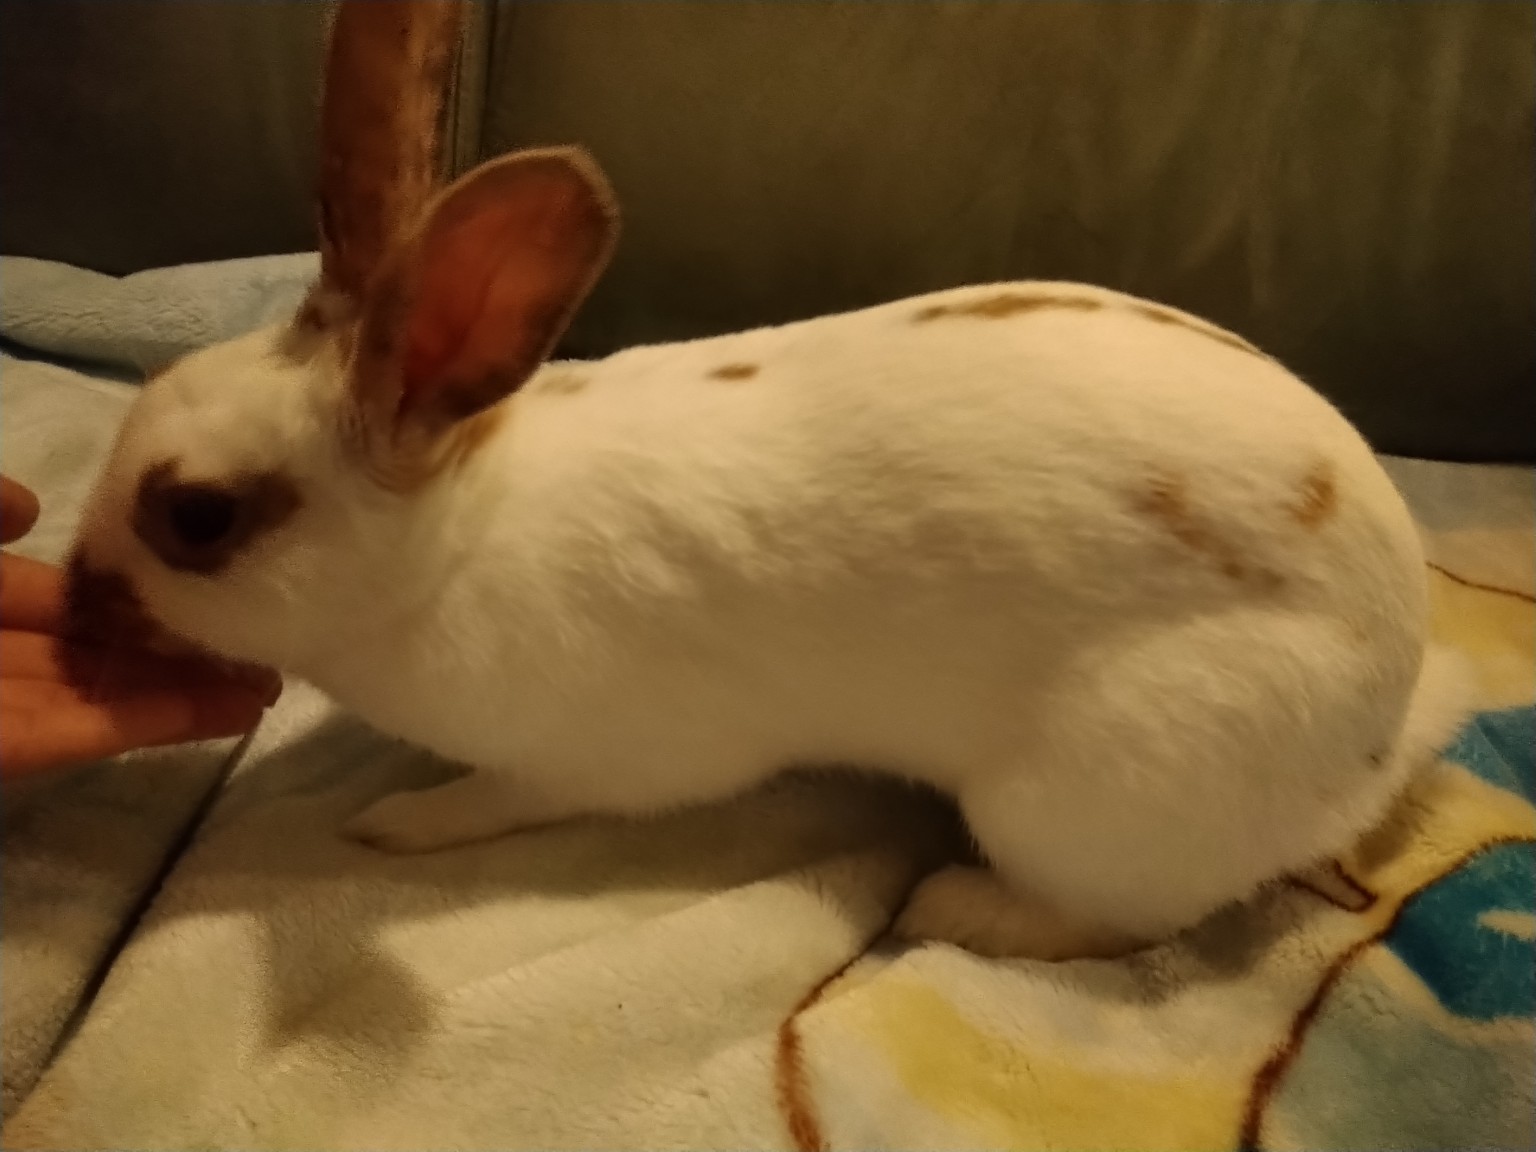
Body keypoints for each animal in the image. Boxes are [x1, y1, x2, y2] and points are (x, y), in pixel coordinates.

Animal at [61, 3, 1472, 961]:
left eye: (196, 518)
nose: (78, 595)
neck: (456, 540)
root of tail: (1380, 726)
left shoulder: (593, 760)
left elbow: (497, 802)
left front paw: (397, 825)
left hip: (1085, 791)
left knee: (1122, 917)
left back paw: (954, 906)